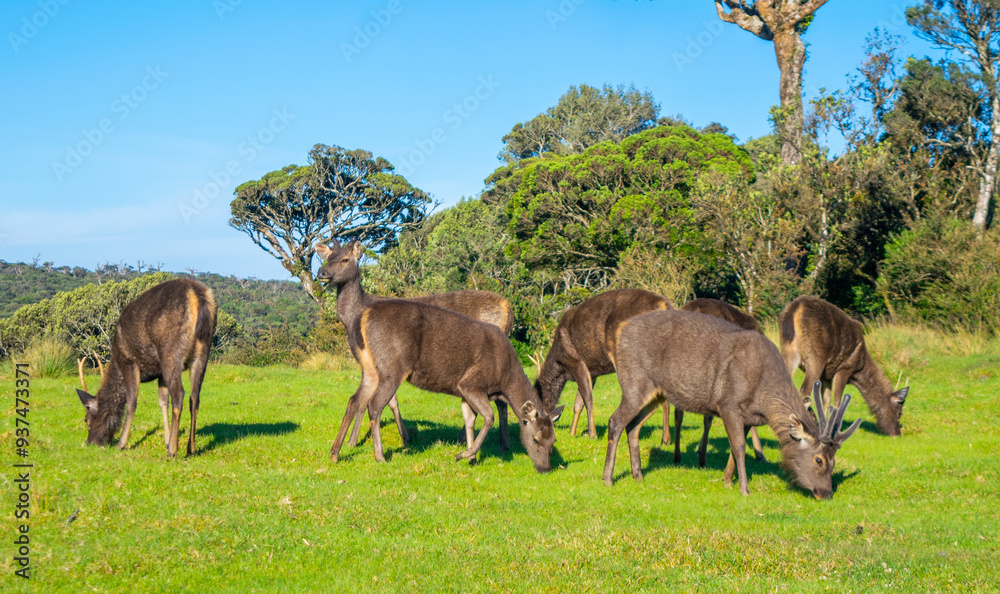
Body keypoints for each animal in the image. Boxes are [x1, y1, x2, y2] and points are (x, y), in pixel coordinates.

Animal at [76, 278, 217, 458]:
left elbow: (132, 402)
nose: (91, 442)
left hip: (170, 352)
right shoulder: (160, 373)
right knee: (194, 397)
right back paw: (190, 448)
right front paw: (166, 439)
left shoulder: (129, 361)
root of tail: (196, 296)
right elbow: (163, 402)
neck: (116, 363)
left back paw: (173, 451)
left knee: (179, 394)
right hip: (203, 350)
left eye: (86, 419)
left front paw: (122, 443)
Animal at [316, 240, 564, 470]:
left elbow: (386, 403)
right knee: (362, 401)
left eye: (344, 259)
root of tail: (508, 307)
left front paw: (398, 439)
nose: (321, 273)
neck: (354, 317)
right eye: (327, 256)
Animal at [535, 289, 672, 441]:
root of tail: (663, 305)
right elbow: (578, 404)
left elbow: (588, 399)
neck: (560, 366)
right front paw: (572, 432)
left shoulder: (576, 361)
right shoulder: (592, 372)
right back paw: (665, 439)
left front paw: (592, 434)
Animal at [779, 296, 910, 436]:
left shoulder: (827, 375)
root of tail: (796, 308)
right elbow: (837, 401)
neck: (858, 371)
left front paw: (823, 426)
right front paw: (834, 430)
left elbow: (826, 400)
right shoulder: (844, 368)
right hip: (815, 356)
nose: (897, 434)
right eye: (899, 412)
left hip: (788, 349)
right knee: (804, 389)